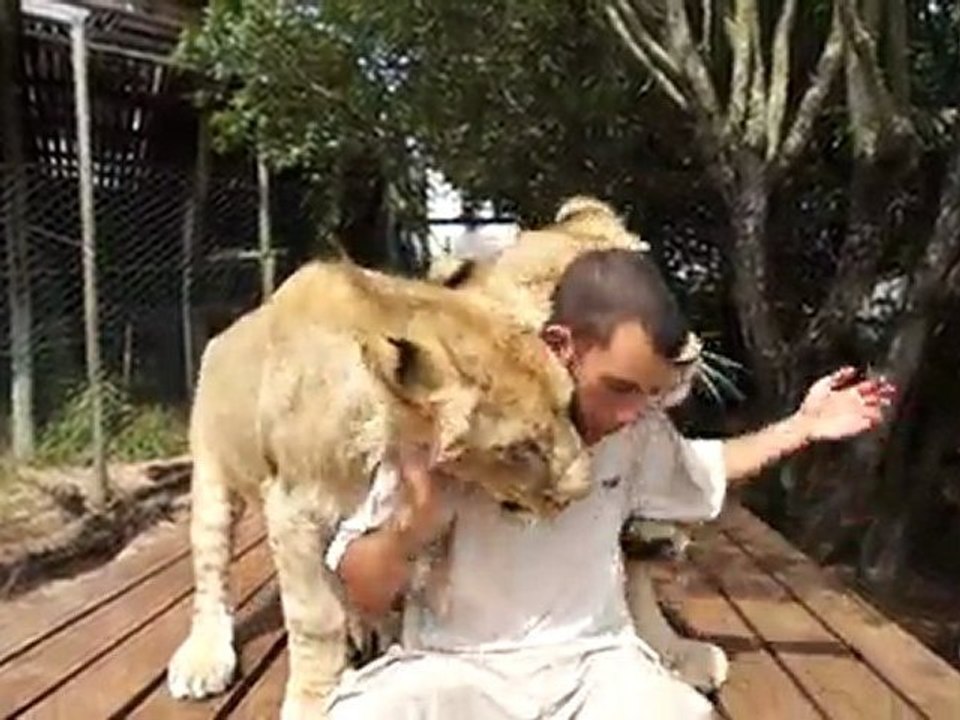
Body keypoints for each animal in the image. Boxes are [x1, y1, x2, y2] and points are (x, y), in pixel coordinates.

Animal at [165, 260, 594, 719]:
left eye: (569, 406)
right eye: (520, 449)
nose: (581, 490)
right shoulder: (293, 508)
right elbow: (317, 618)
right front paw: (313, 699)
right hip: (212, 474)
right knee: (211, 570)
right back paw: (204, 659)